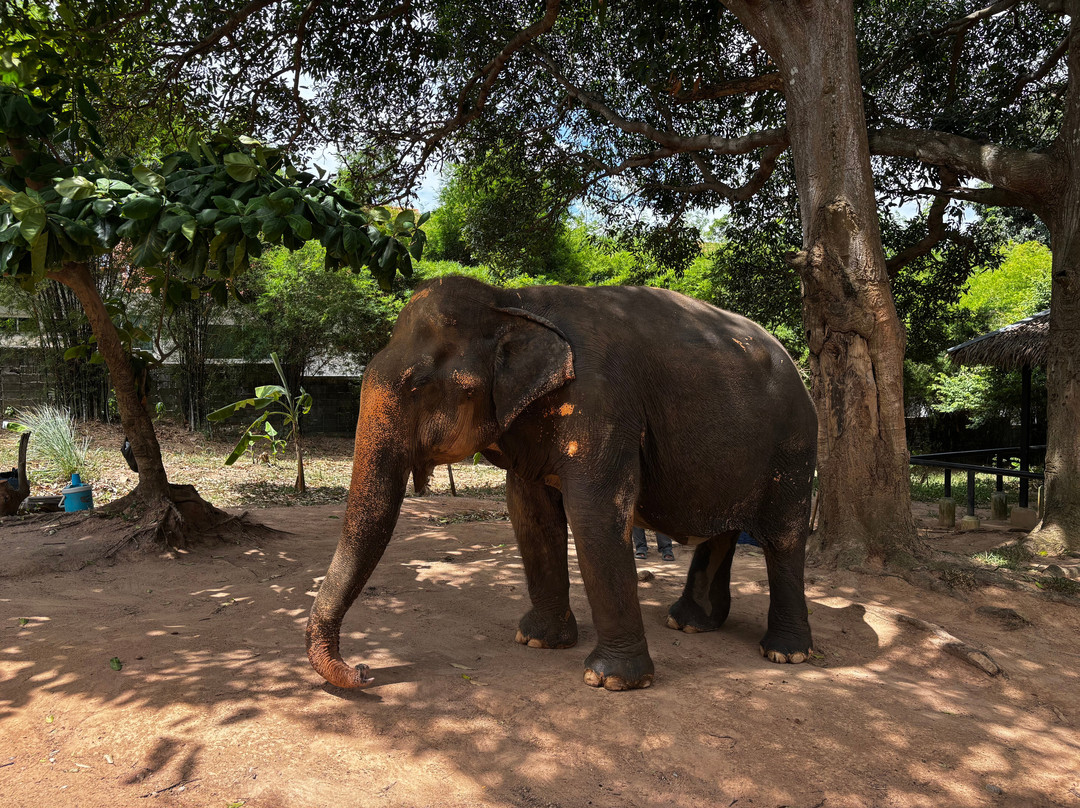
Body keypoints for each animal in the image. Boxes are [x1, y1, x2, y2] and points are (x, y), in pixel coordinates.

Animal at [307, 275, 817, 691]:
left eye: (420, 386)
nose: (363, 670)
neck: (512, 302)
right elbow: (529, 513)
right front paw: (538, 642)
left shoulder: (601, 404)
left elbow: (594, 513)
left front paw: (611, 680)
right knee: (722, 533)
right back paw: (689, 624)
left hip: (795, 447)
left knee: (784, 540)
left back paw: (785, 652)